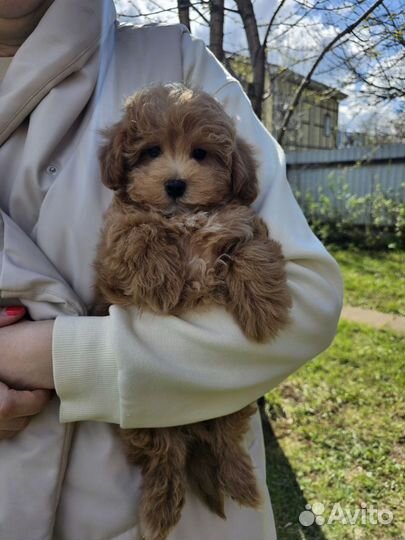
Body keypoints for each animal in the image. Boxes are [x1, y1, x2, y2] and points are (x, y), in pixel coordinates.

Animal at [94, 84, 290, 540]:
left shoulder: (240, 223)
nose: (175, 184)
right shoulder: (116, 243)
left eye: (201, 153)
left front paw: (264, 307)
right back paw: (160, 510)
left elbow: (253, 249)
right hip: (147, 419)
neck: (184, 217)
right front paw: (161, 278)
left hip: (228, 403)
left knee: (225, 439)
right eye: (151, 151)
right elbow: (138, 231)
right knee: (165, 457)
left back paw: (241, 483)